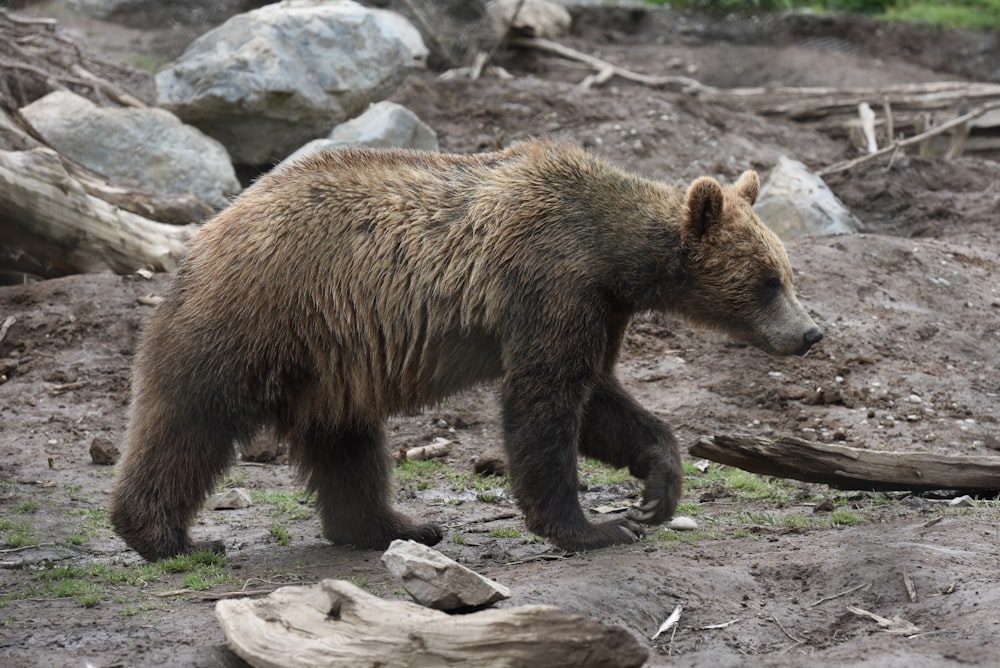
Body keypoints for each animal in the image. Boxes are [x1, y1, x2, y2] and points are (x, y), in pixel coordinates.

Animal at [109, 138, 820, 560]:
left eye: (786, 272)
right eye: (767, 279)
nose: (811, 332)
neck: (611, 255)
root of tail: (210, 228)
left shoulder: (599, 308)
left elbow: (599, 398)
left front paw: (656, 488)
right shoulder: (548, 284)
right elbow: (545, 403)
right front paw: (592, 526)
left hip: (332, 357)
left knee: (347, 443)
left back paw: (393, 525)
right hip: (261, 314)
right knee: (192, 417)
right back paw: (165, 536)